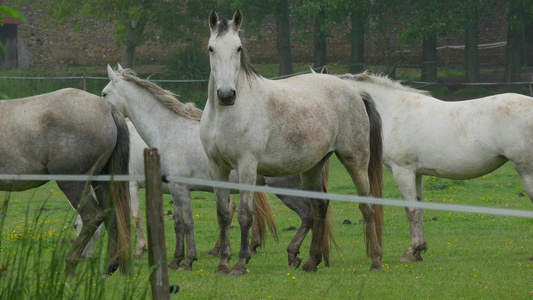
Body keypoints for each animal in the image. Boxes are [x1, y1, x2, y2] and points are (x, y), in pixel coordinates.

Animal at [0, 88, 131, 276]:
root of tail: (108, 108)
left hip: (73, 183)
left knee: (92, 216)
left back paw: (71, 264)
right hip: (101, 182)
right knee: (111, 215)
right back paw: (109, 268)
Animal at [201, 10, 382, 276]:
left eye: (239, 48)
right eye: (211, 48)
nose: (226, 95)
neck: (225, 114)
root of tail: (354, 91)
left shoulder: (246, 166)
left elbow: (245, 214)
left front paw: (240, 263)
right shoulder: (217, 167)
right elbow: (223, 215)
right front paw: (223, 263)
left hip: (355, 161)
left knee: (367, 205)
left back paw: (375, 260)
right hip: (313, 167)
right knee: (319, 207)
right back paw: (311, 261)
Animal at [338, 72, 532, 262]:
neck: (392, 110)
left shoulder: (403, 171)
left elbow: (411, 210)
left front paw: (410, 252)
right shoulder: (416, 173)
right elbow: (419, 209)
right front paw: (419, 250)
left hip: (526, 172)